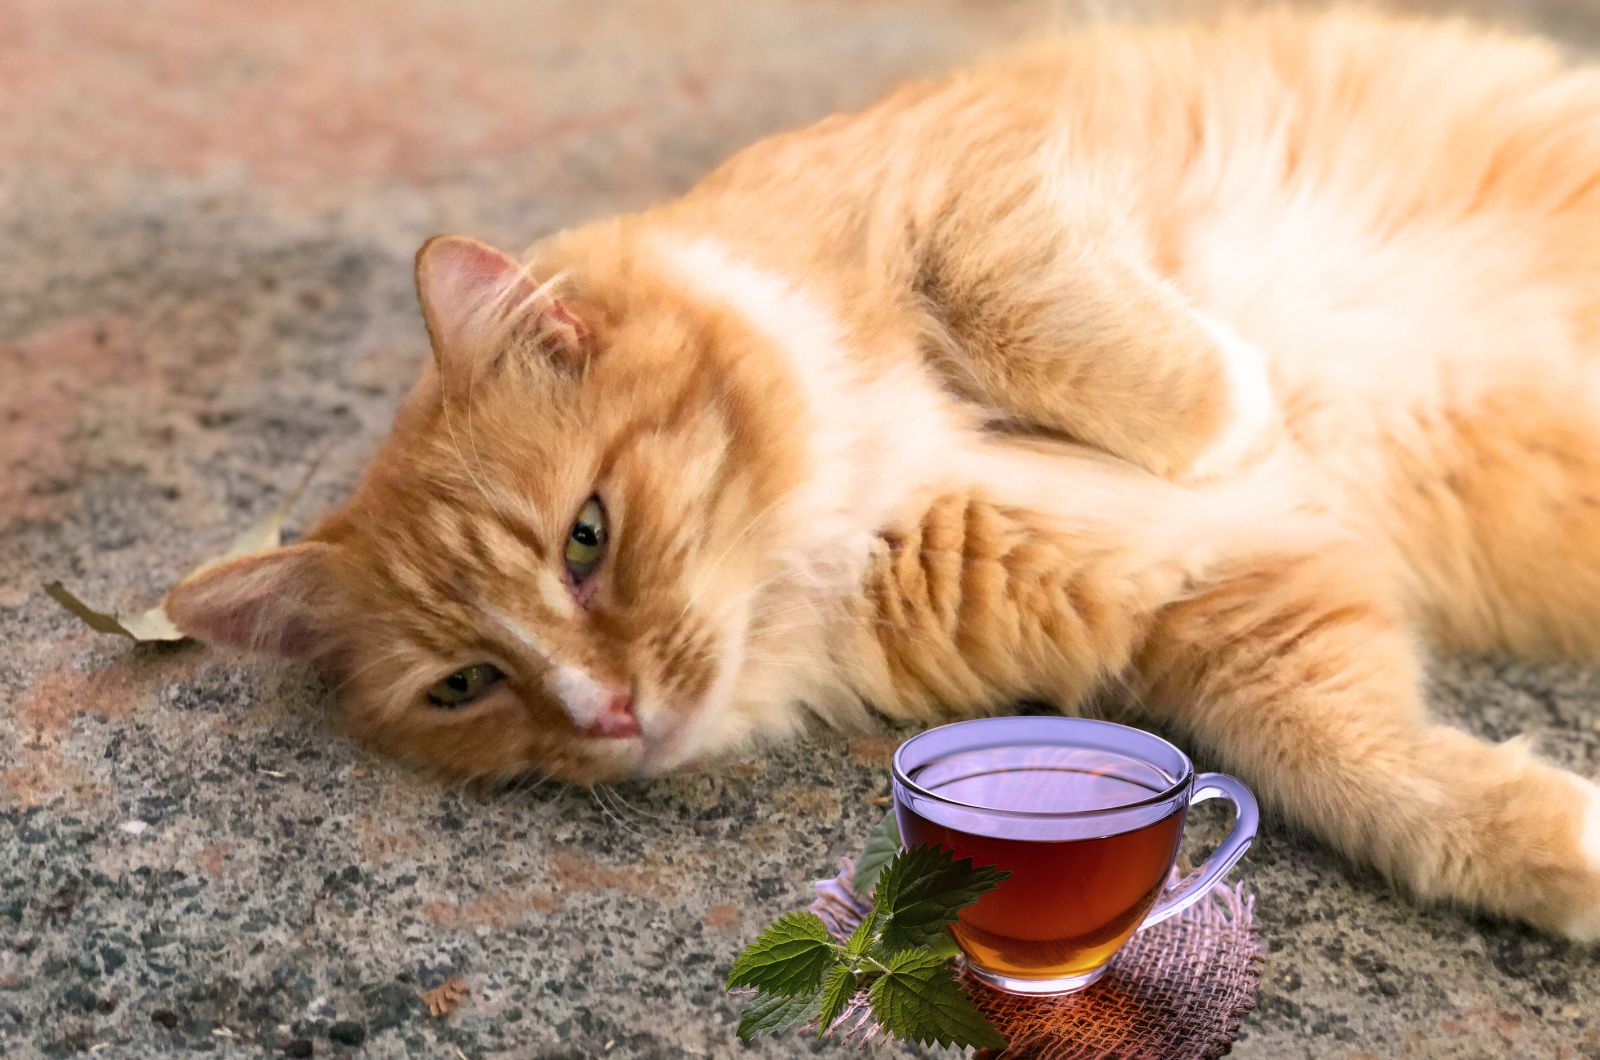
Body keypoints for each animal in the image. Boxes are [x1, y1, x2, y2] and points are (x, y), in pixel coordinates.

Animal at [165, 8, 1600, 941]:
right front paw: (1562, 853)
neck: (844, 503)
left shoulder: (964, 183)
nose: (607, 715)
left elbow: (1046, 317)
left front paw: (1228, 407)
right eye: (466, 686)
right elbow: (1374, 775)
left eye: (586, 536)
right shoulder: (1222, 619)